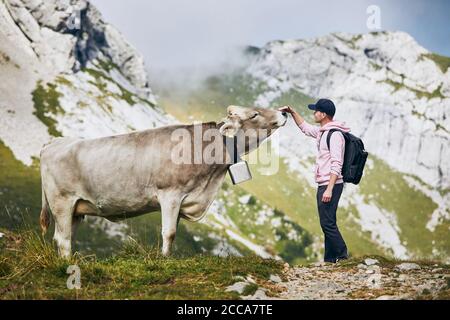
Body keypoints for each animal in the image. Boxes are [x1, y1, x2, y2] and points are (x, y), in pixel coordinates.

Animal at [40, 105, 290, 258]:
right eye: (254, 115)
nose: (283, 113)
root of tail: (54, 142)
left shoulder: (183, 200)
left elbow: (174, 231)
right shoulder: (170, 194)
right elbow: (168, 232)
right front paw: (164, 260)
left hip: (77, 208)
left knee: (65, 237)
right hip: (62, 202)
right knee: (62, 239)